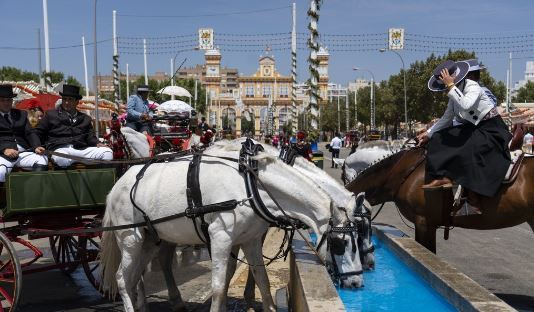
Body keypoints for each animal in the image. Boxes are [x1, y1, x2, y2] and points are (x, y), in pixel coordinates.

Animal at [99, 146, 364, 312]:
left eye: (360, 238)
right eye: (340, 243)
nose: (357, 283)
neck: (252, 184)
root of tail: (116, 186)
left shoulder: (251, 239)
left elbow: (262, 281)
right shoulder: (220, 238)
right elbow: (218, 286)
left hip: (151, 239)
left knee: (138, 275)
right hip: (131, 238)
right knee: (122, 278)